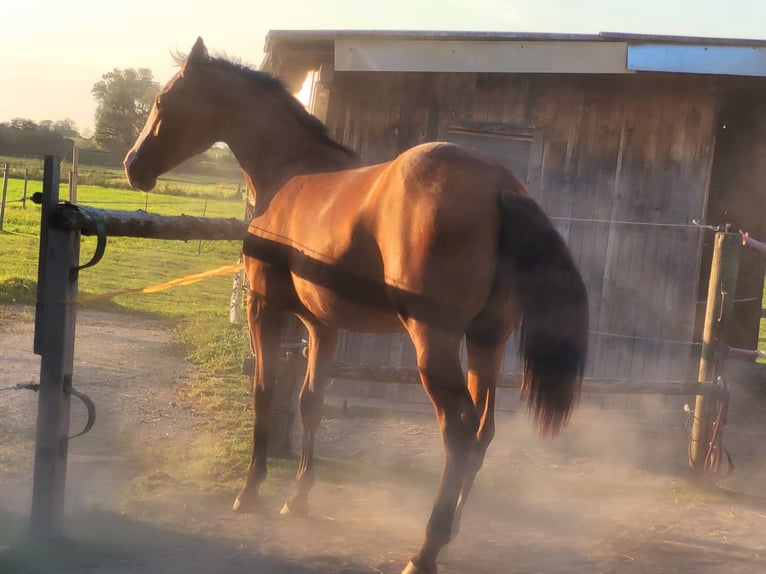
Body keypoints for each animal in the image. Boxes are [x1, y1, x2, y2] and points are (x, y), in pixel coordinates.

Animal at [126, 38, 592, 574]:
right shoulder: (322, 326)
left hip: (434, 343)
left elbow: (264, 391)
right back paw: (451, 531)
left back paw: (425, 550)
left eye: (162, 100)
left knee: (457, 430)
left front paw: (251, 492)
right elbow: (310, 402)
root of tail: (501, 186)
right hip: (486, 340)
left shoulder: (265, 309)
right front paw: (298, 498)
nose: (132, 166)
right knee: (483, 429)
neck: (291, 172)